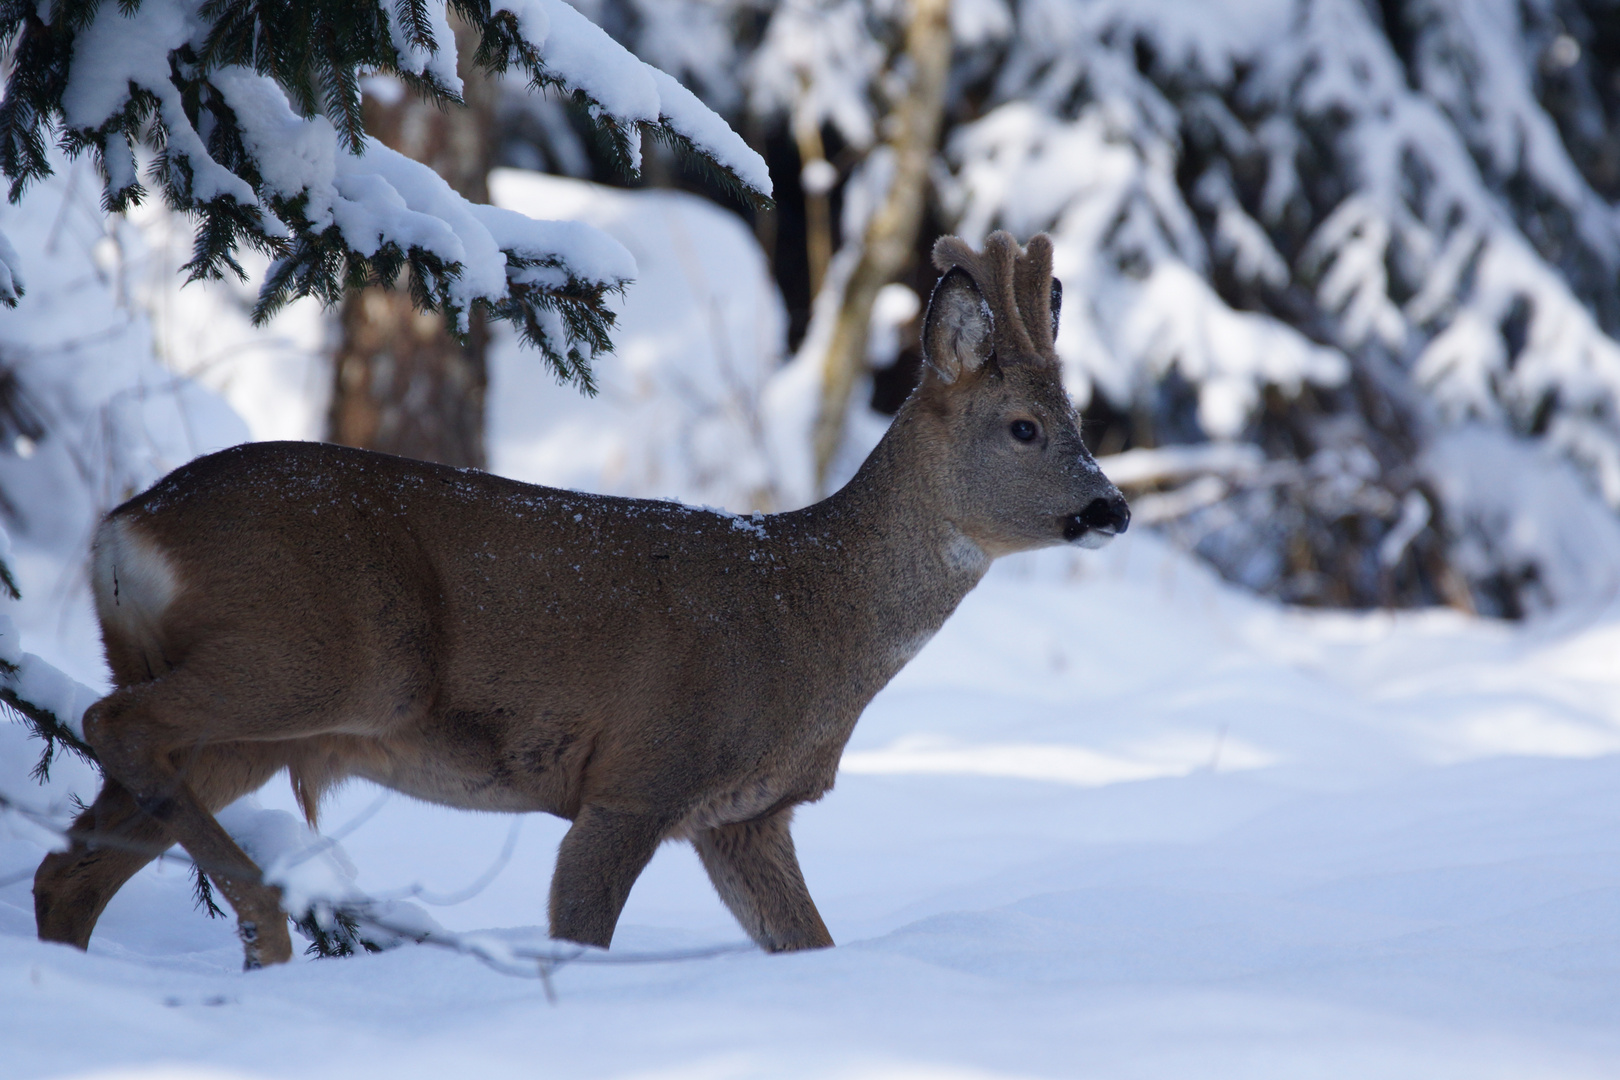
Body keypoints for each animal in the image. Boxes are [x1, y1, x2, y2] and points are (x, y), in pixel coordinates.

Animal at [38, 233, 1127, 965]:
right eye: (1025, 426)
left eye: (1078, 420)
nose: (1111, 507)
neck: (807, 613)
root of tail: (124, 528)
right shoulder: (640, 772)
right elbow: (581, 936)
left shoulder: (743, 816)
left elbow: (808, 945)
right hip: (322, 657)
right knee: (110, 724)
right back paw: (267, 924)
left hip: (249, 726)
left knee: (72, 865)